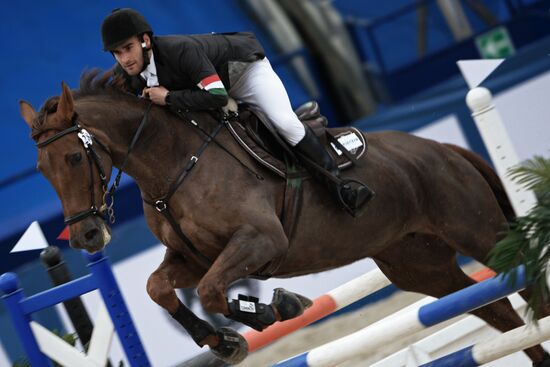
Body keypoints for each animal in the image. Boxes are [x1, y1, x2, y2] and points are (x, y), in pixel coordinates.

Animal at [19, 70, 550, 366]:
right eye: (42, 169)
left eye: (73, 158)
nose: (87, 236)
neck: (175, 162)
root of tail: (444, 149)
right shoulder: (194, 258)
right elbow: (158, 287)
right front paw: (223, 342)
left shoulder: (260, 241)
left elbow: (213, 291)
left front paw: (278, 308)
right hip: (422, 268)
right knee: (501, 313)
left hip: (481, 233)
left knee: (526, 285)